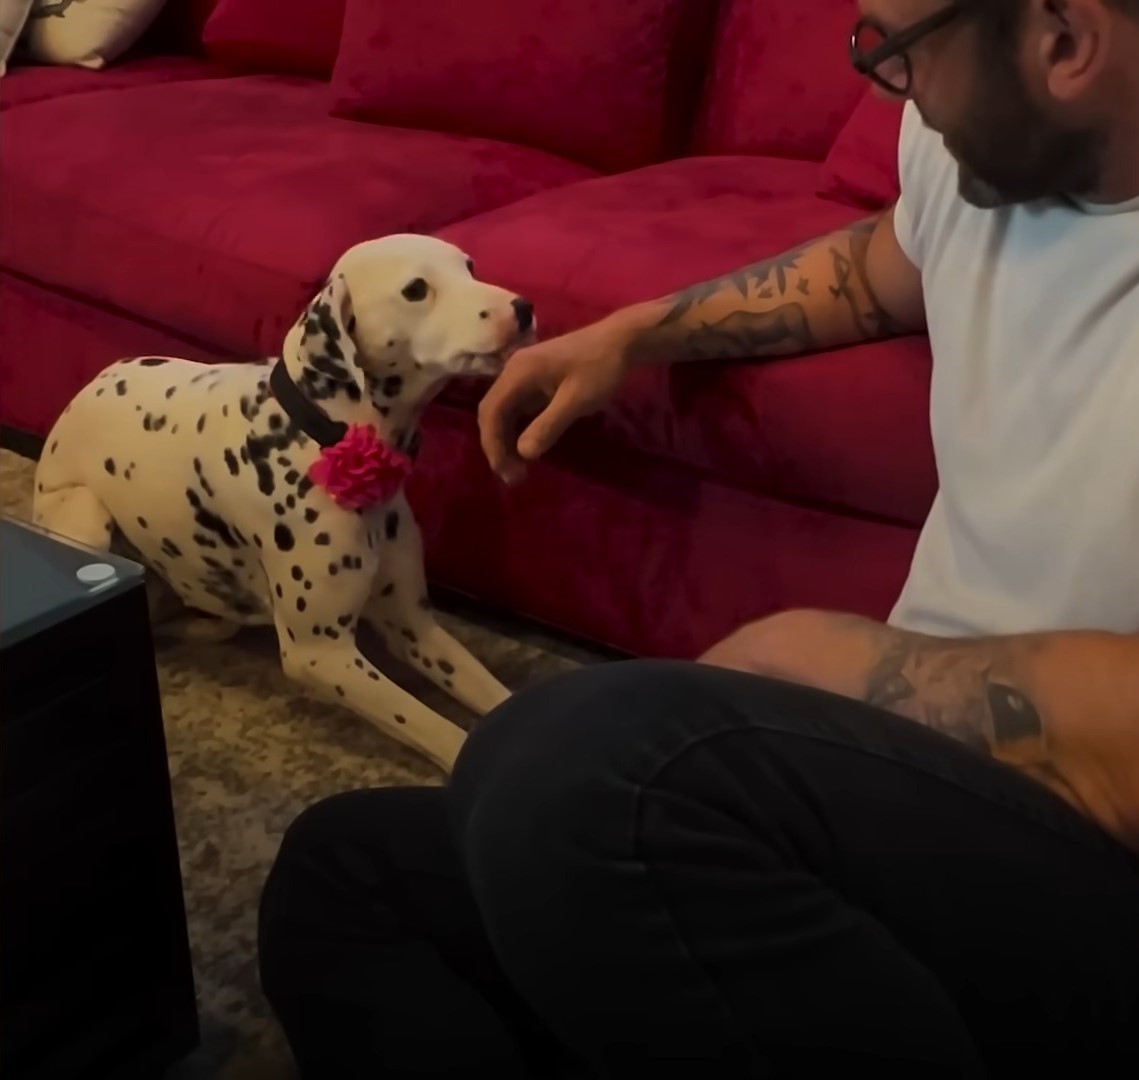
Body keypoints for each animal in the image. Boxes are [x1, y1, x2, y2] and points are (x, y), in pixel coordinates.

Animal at [33, 235, 535, 774]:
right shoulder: (322, 652)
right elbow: (439, 731)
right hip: (84, 516)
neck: (325, 438)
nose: (523, 309)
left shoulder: (415, 627)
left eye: (470, 266)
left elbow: (497, 698)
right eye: (416, 289)